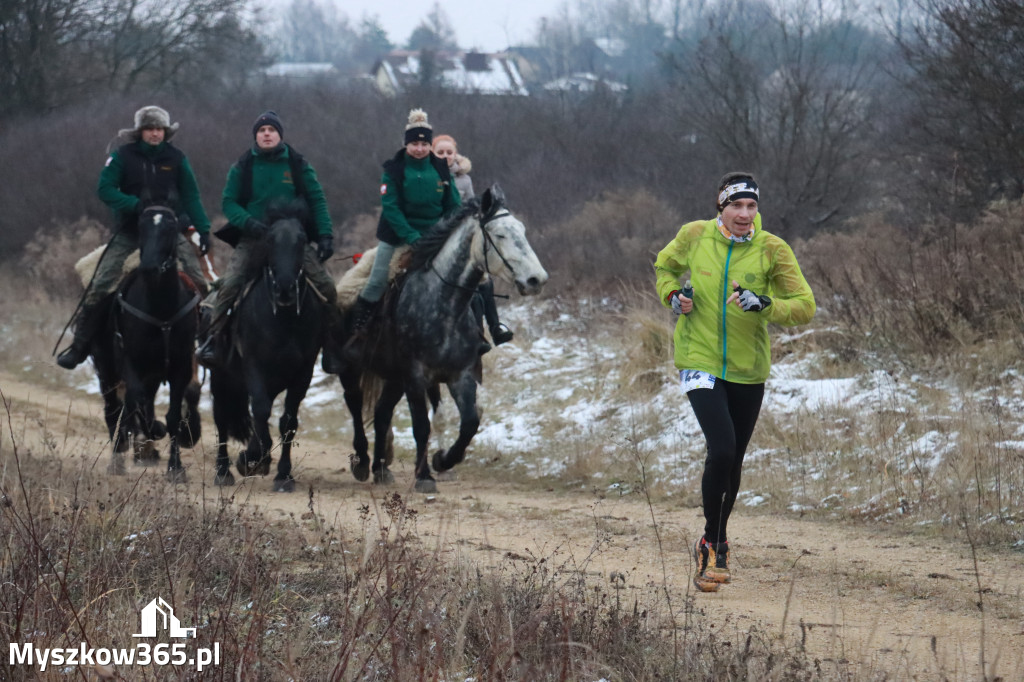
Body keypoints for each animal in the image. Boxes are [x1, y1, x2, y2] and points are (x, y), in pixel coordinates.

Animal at [90, 204, 201, 475]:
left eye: (170, 228)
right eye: (141, 227)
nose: (150, 267)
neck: (161, 309)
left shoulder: (181, 364)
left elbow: (173, 413)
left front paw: (175, 468)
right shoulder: (130, 362)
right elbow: (136, 401)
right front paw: (151, 436)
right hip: (107, 370)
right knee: (115, 409)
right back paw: (119, 456)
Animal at [212, 204, 327, 491]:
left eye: (301, 240)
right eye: (269, 240)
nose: (285, 288)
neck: (284, 319)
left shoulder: (303, 372)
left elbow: (287, 421)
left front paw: (283, 475)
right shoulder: (254, 365)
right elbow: (262, 410)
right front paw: (254, 458)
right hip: (221, 377)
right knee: (222, 418)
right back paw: (223, 471)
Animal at [337, 186, 548, 491]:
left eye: (521, 229)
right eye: (499, 235)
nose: (536, 280)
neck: (444, 306)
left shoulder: (461, 374)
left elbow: (470, 422)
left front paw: (442, 461)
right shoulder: (416, 376)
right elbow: (421, 426)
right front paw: (424, 476)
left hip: (394, 378)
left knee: (381, 412)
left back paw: (381, 469)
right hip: (350, 368)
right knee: (355, 407)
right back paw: (363, 463)